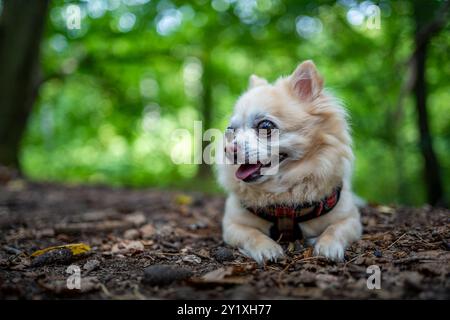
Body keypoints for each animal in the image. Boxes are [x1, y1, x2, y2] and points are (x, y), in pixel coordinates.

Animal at [217, 60, 362, 264]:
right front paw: (267, 248)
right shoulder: (232, 224)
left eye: (265, 126)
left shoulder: (350, 219)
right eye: (231, 130)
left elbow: (335, 229)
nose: (229, 149)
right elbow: (252, 234)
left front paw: (328, 246)